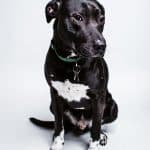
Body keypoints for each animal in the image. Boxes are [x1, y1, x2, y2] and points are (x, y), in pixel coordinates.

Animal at [29, 0, 118, 150]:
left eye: (101, 19)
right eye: (78, 17)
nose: (102, 46)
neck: (73, 63)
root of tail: (80, 125)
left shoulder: (99, 98)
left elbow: (96, 126)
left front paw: (94, 145)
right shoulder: (55, 95)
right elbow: (58, 124)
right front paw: (57, 143)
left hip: (112, 106)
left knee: (95, 125)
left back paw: (101, 136)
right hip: (52, 105)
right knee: (66, 124)